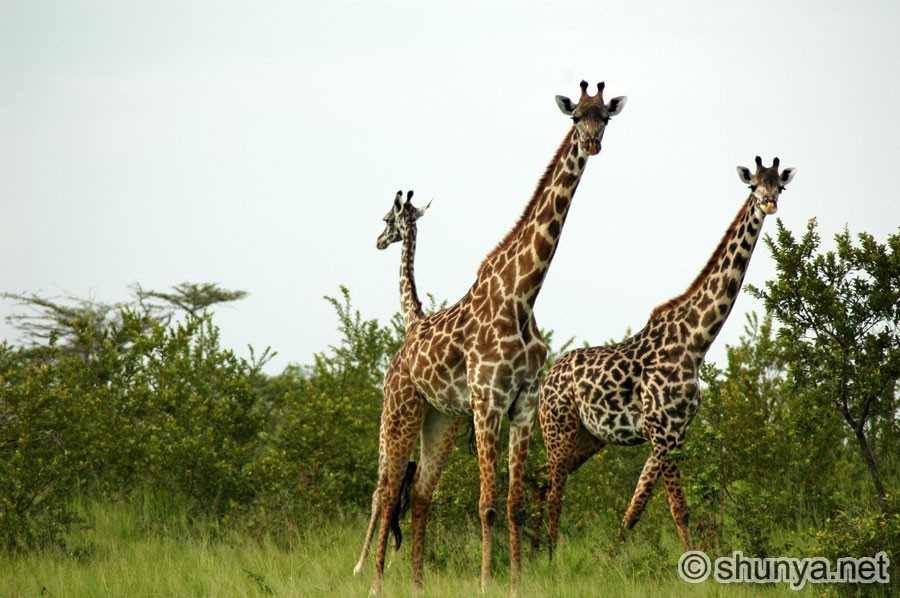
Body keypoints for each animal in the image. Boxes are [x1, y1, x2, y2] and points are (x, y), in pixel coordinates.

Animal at [366, 81, 624, 598]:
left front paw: (517, 582)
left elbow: (515, 504)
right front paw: (488, 582)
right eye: (575, 118)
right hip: (401, 410)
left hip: (440, 419)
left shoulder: (523, 403)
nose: (591, 144)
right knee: (386, 492)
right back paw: (376, 584)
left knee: (418, 493)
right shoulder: (488, 400)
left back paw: (417, 584)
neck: (521, 296)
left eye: (605, 117)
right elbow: (485, 503)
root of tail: (398, 356)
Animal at [536, 157, 800, 560]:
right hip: (559, 428)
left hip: (589, 437)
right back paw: (549, 558)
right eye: (753, 186)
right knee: (553, 490)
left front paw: (611, 558)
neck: (696, 342)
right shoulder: (663, 430)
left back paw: (532, 550)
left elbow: (635, 507)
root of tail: (547, 377)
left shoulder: (672, 433)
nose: (769, 204)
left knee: (538, 481)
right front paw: (694, 565)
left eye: (780, 186)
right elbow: (679, 508)